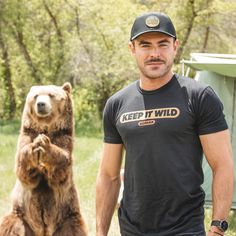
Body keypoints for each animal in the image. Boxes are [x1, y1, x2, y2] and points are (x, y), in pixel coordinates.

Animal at [0, 82, 87, 235]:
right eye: (36, 96)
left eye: (51, 95)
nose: (41, 104)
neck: (46, 128)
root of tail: (43, 232)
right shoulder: (27, 134)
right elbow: (22, 167)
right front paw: (35, 147)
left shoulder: (63, 137)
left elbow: (62, 165)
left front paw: (45, 145)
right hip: (20, 215)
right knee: (11, 226)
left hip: (67, 215)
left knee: (74, 229)